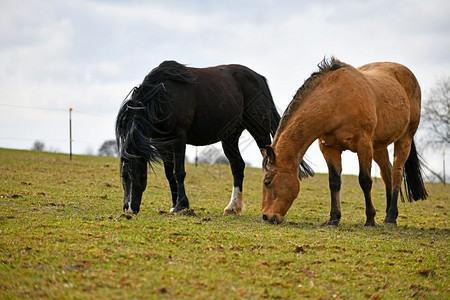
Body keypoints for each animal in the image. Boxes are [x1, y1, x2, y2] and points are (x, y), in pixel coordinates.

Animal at [116, 61, 312, 214]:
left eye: (136, 174)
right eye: (124, 176)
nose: (129, 209)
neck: (163, 96)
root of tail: (259, 78)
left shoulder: (179, 138)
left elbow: (178, 171)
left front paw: (181, 205)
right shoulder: (161, 143)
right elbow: (169, 173)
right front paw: (174, 204)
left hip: (259, 131)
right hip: (230, 137)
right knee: (237, 166)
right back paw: (233, 207)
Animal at [260, 57, 426, 226]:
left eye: (267, 181)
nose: (266, 216)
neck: (335, 101)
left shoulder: (363, 145)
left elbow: (365, 181)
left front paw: (370, 220)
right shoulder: (329, 147)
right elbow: (334, 181)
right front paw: (333, 219)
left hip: (404, 139)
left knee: (397, 173)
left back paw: (391, 217)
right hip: (379, 146)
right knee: (387, 173)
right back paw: (387, 216)